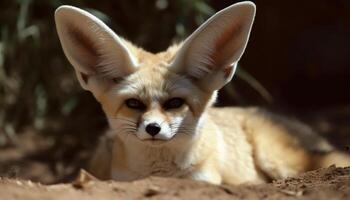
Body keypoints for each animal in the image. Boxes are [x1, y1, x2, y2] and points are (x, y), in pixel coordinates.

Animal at [54, 1, 350, 184]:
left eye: (175, 103)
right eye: (134, 104)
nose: (153, 128)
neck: (160, 174)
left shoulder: (205, 181)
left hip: (277, 157)